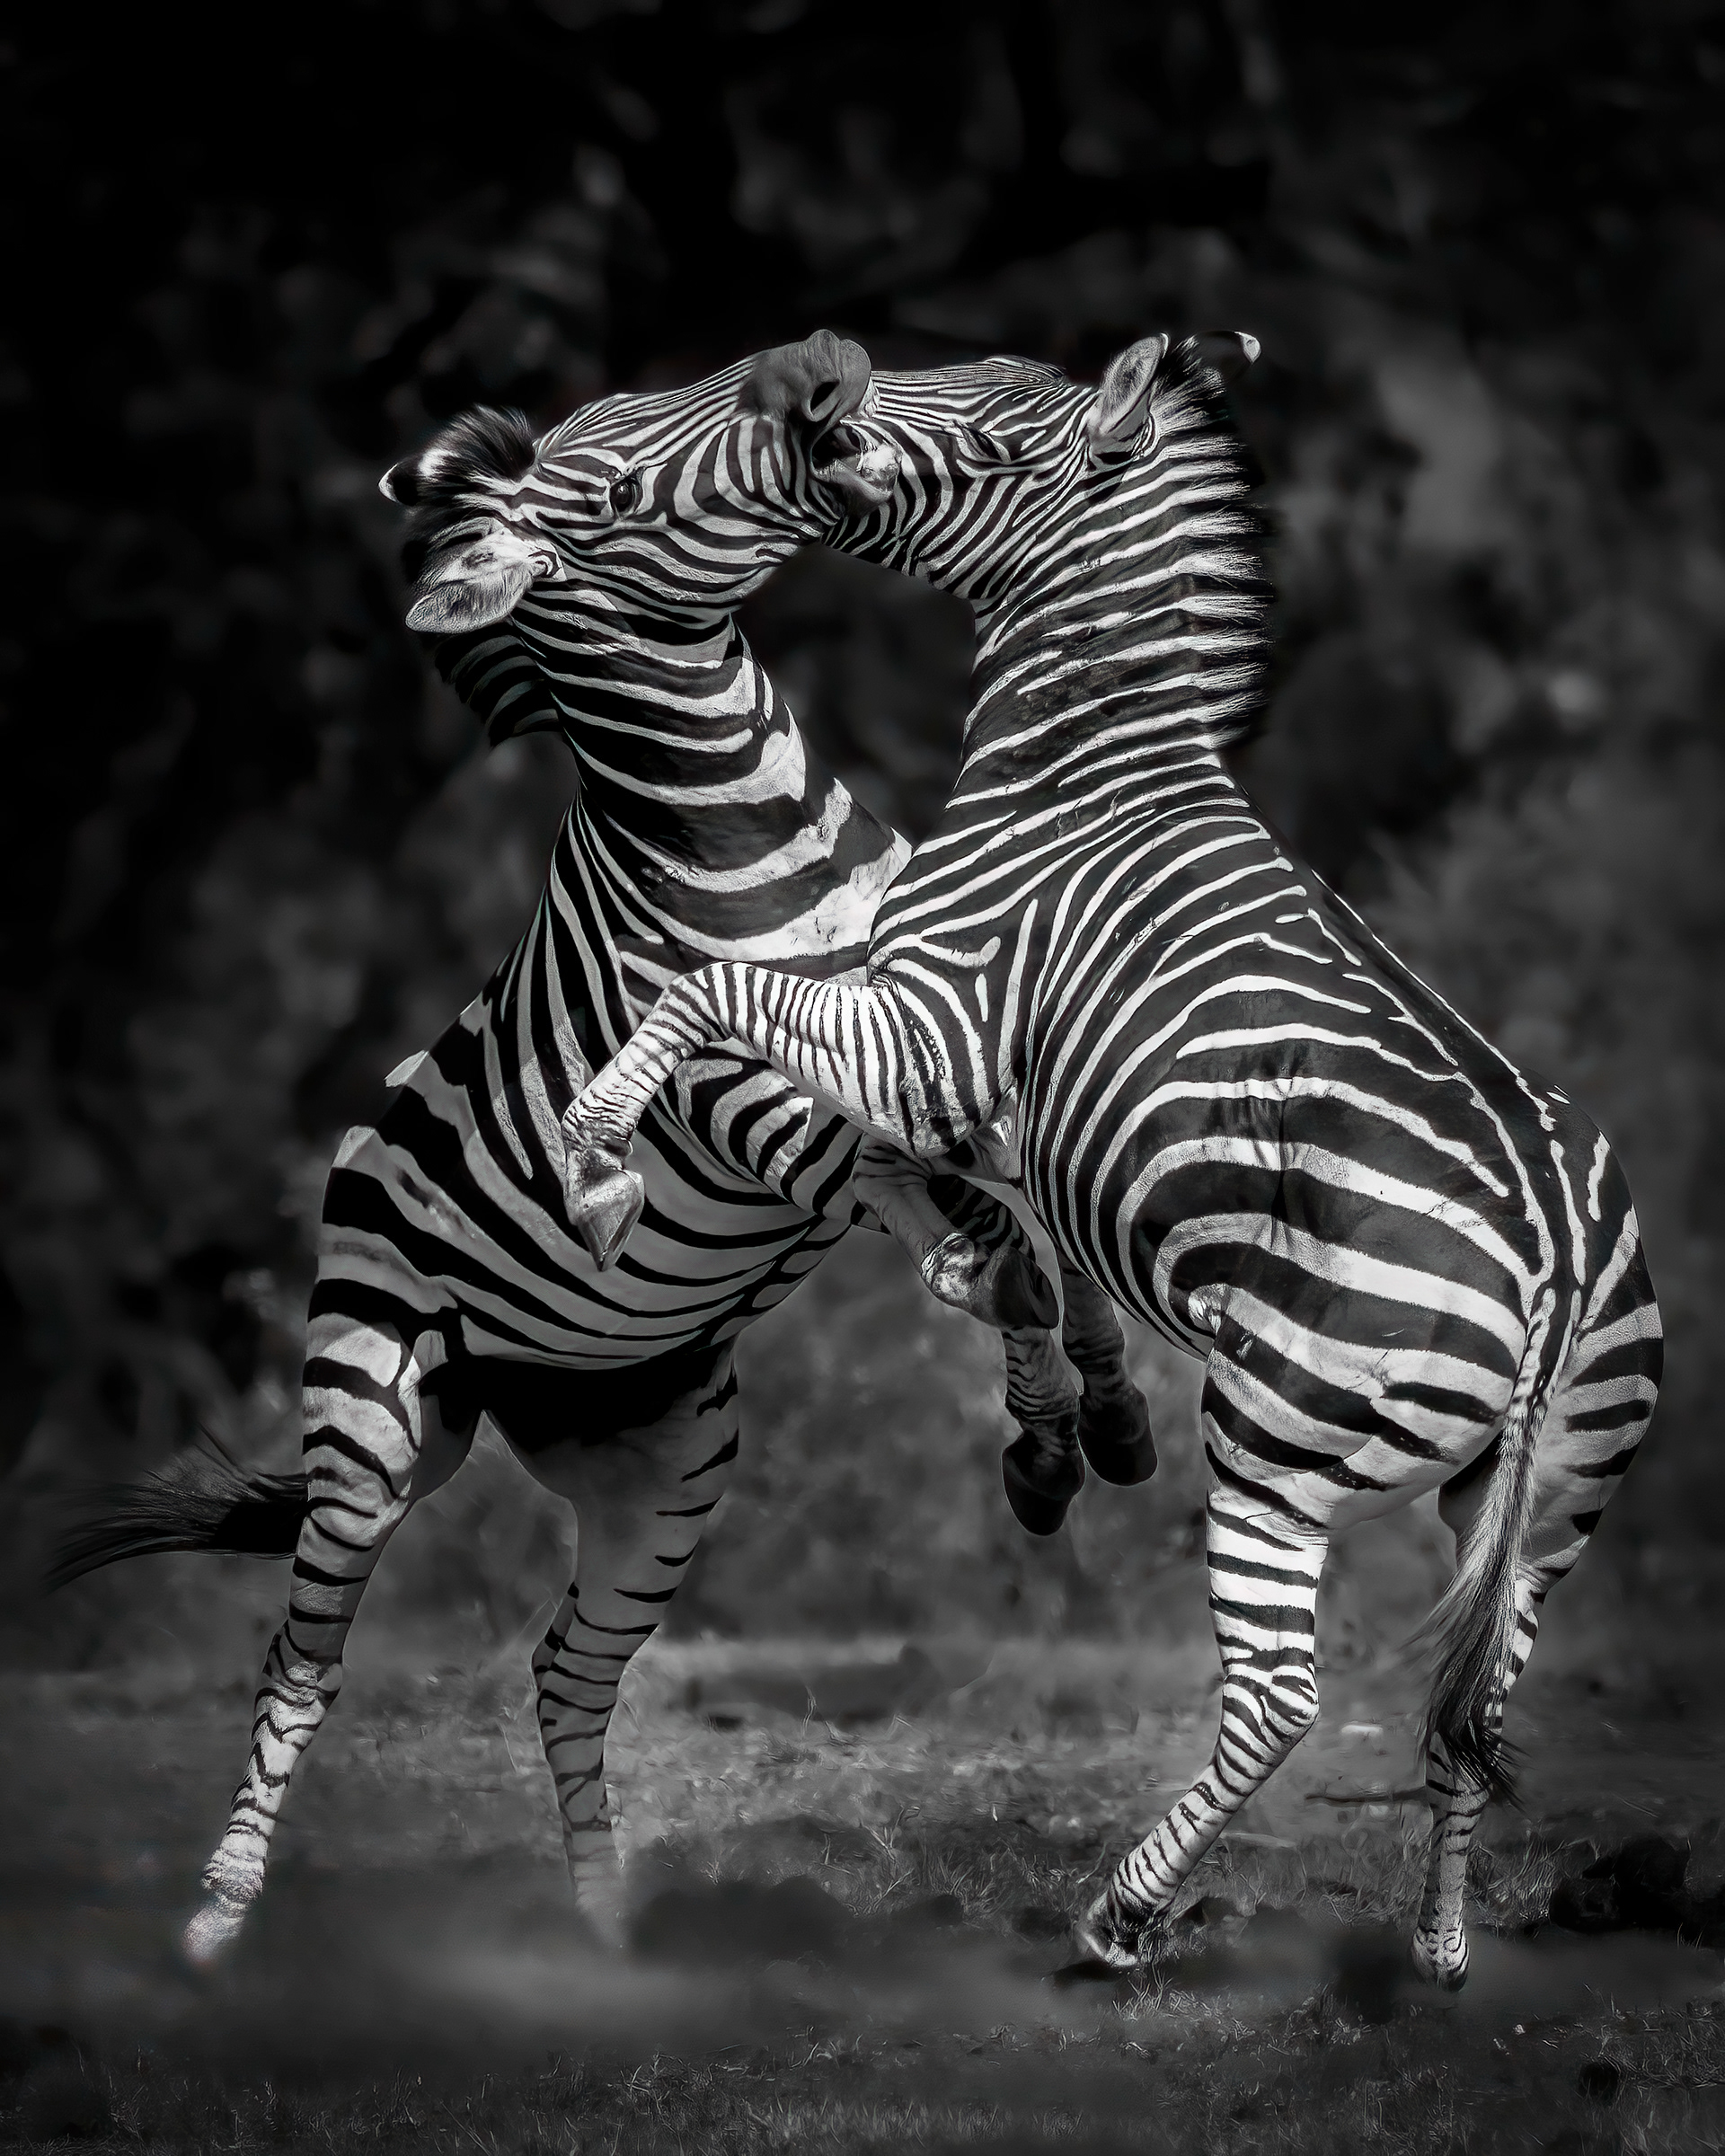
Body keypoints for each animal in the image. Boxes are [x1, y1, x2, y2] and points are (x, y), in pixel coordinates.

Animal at [52, 344, 1153, 1965]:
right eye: (623, 483)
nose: (824, 378)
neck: (751, 832)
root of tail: (499, 1391)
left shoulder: (944, 1028)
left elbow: (1023, 1209)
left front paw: (1092, 1412)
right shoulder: (751, 1109)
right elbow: (981, 1226)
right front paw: (1042, 1418)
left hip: (664, 1459)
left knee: (566, 1670)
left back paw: (603, 1935)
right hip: (370, 1419)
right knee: (304, 1659)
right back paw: (216, 1922)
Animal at [549, 331, 1663, 1988]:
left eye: (990, 423)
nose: (810, 392)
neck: (1075, 764)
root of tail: (1557, 1255)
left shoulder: (928, 1028)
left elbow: (711, 990)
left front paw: (599, 1145)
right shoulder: (982, 1087)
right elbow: (1007, 1217)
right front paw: (1060, 1403)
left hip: (1280, 1434)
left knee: (1280, 1694)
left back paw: (1122, 1919)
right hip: (1548, 1498)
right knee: (1474, 1712)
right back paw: (1440, 1956)